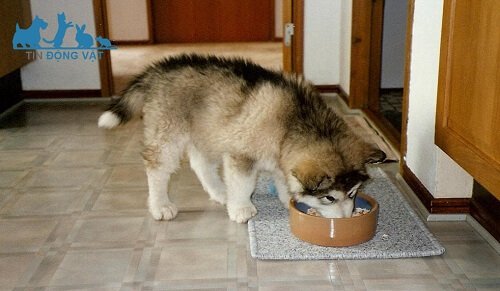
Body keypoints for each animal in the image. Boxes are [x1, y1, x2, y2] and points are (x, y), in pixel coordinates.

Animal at [98, 54, 386, 224]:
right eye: (329, 198)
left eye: (353, 193)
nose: (347, 219)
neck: (292, 121)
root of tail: (157, 70)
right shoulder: (241, 154)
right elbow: (244, 184)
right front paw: (241, 208)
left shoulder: (282, 156)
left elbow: (284, 180)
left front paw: (288, 200)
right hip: (169, 133)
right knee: (158, 167)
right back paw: (161, 205)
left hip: (209, 129)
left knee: (200, 163)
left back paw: (219, 192)